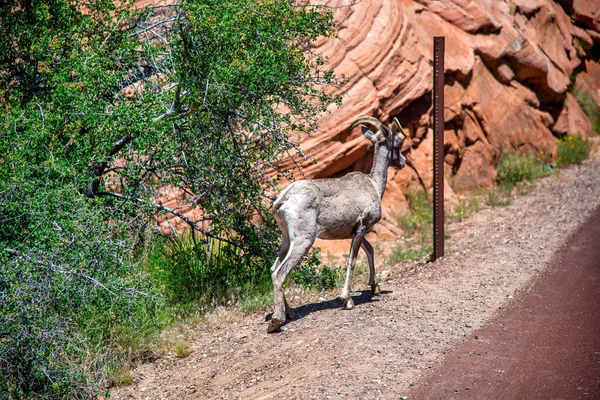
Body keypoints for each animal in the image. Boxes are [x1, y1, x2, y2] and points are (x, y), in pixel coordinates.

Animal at [268, 115, 406, 332]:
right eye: (399, 143)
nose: (403, 162)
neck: (374, 185)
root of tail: (283, 200)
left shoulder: (355, 232)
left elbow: (370, 251)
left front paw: (375, 288)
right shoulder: (361, 229)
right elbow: (352, 261)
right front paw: (347, 300)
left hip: (287, 240)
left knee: (274, 269)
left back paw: (288, 312)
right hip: (303, 241)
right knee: (280, 273)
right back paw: (276, 321)